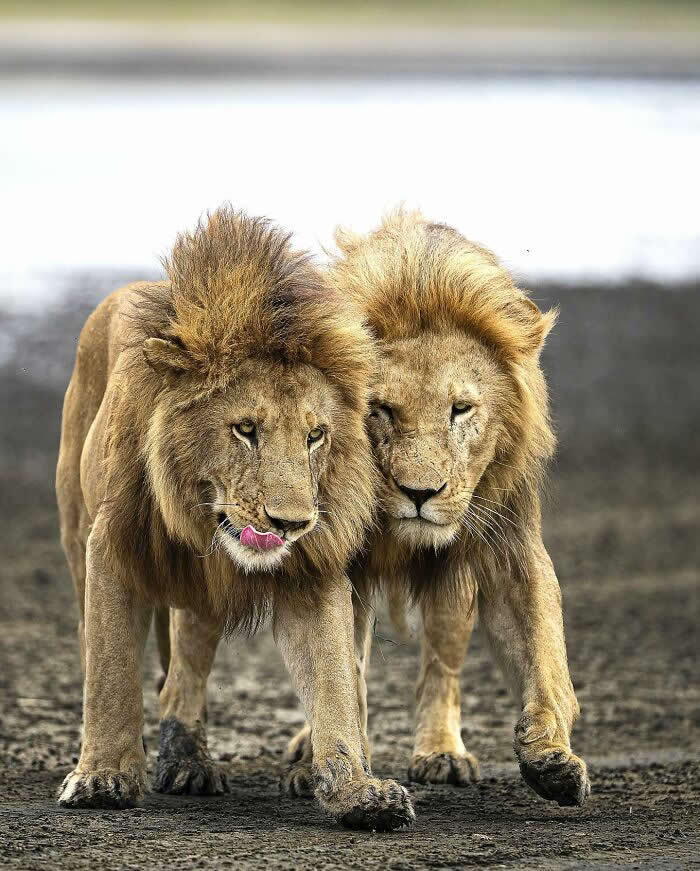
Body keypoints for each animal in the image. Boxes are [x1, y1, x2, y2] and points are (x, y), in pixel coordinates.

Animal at [54, 206, 415, 831]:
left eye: (316, 436)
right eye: (245, 430)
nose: (292, 523)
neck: (197, 516)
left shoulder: (312, 569)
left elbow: (335, 683)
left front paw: (358, 791)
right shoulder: (112, 548)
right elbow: (109, 672)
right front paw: (101, 778)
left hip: (200, 593)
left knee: (183, 674)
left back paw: (188, 761)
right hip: (77, 541)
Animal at [285, 210, 590, 807]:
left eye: (461, 410)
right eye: (381, 409)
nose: (420, 493)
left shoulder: (509, 544)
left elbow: (546, 660)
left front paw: (552, 758)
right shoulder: (340, 566)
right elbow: (342, 674)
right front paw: (340, 771)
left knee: (442, 666)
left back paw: (442, 753)